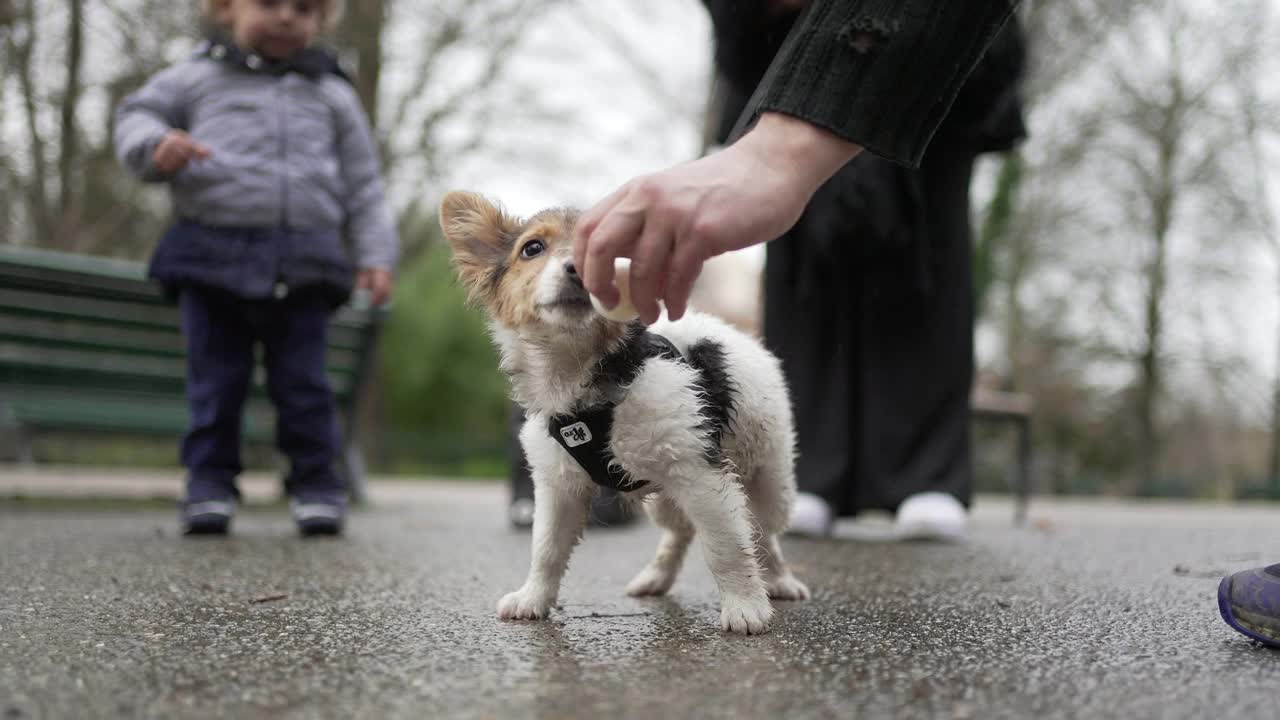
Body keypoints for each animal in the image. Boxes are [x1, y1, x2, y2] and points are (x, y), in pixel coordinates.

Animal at [440, 188, 808, 630]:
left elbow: (727, 546)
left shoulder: (699, 470)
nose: (576, 270)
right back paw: (656, 577)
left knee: (763, 533)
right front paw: (533, 598)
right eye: (532, 248)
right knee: (680, 531)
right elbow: (546, 549)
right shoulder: (559, 485)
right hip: (669, 498)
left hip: (769, 479)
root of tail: (737, 333)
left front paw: (744, 606)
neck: (579, 372)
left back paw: (780, 580)